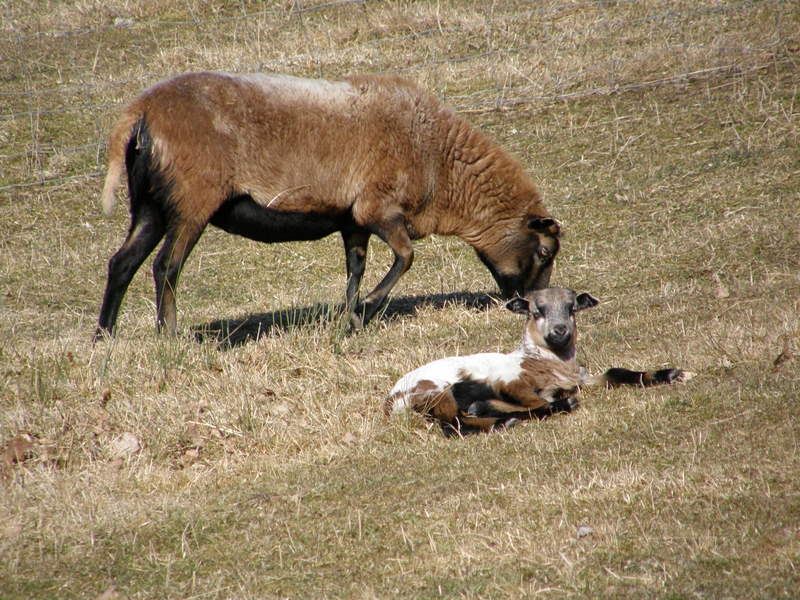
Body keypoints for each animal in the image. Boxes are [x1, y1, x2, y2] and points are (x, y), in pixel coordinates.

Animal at [97, 71, 560, 338]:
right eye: (544, 251)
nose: (527, 306)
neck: (437, 162)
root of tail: (141, 112)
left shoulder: (353, 221)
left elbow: (355, 269)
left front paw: (349, 319)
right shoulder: (378, 208)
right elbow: (406, 256)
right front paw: (366, 310)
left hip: (151, 205)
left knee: (123, 262)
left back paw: (104, 338)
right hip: (192, 202)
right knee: (165, 267)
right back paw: (169, 338)